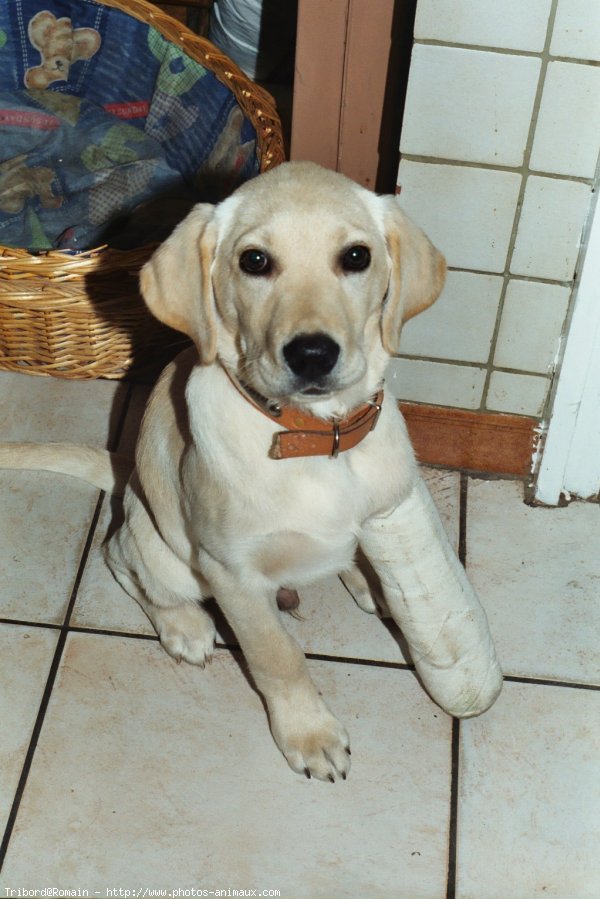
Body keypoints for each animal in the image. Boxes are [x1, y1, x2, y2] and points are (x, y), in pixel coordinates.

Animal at [0, 162, 502, 780]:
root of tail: (127, 479)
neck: (314, 438)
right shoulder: (231, 572)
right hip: (160, 548)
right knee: (121, 558)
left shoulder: (387, 508)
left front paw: (374, 581)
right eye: (255, 261)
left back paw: (367, 584)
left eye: (356, 257)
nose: (312, 355)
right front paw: (309, 734)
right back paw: (185, 626)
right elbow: (277, 656)